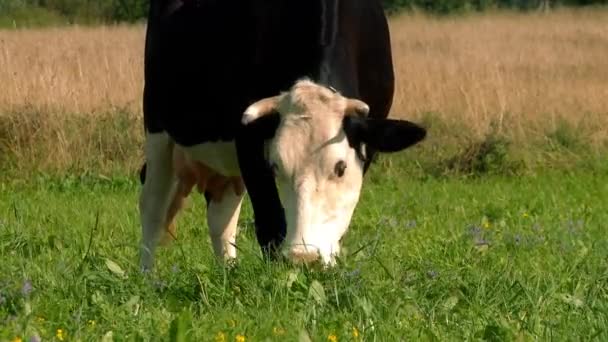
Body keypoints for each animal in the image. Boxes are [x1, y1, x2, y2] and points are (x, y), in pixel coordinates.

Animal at [141, 0, 428, 270]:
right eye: (276, 167)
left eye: (341, 168)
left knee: (221, 217)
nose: (304, 257)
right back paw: (148, 278)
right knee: (153, 208)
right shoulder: (248, 140)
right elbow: (270, 222)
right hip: (156, 126)